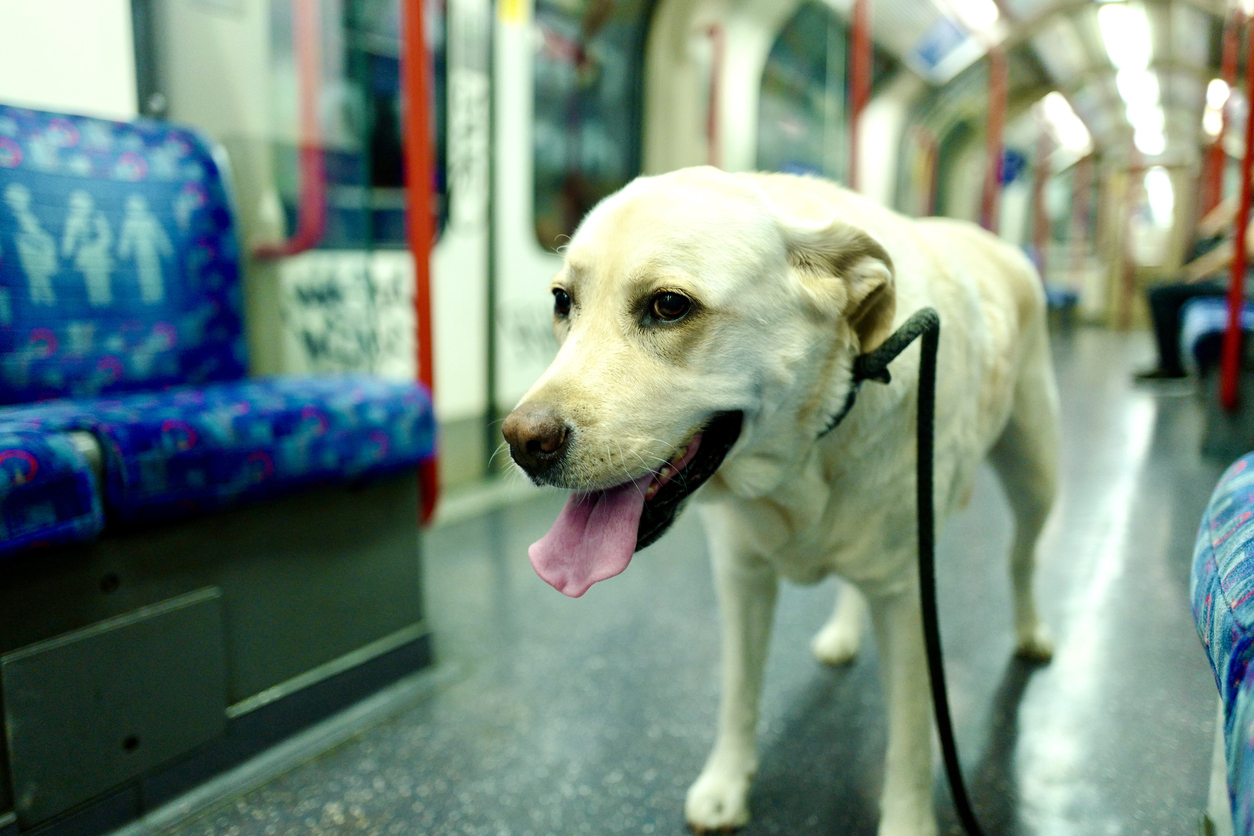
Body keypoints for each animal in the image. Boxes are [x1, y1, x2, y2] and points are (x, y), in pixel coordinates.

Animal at [499, 166, 1058, 832]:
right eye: (563, 301)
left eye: (669, 306)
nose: (522, 442)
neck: (802, 455)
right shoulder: (742, 579)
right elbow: (739, 696)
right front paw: (725, 785)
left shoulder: (908, 602)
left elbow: (912, 743)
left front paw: (907, 821)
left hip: (1035, 477)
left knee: (1023, 558)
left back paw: (1031, 631)